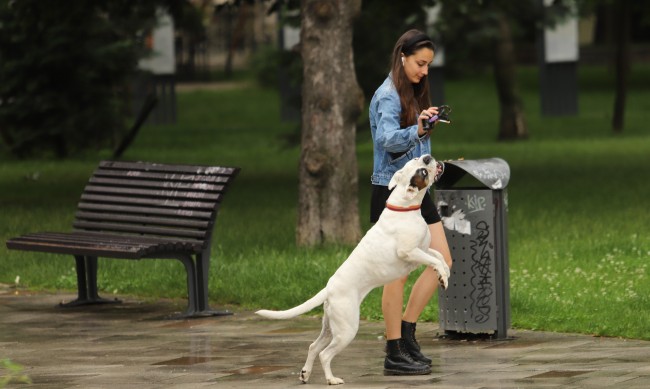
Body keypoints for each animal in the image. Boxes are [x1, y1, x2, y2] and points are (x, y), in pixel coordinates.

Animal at [256, 155, 448, 384]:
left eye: (418, 160)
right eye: (423, 172)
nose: (427, 157)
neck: (405, 205)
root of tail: (328, 288)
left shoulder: (423, 250)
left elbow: (439, 257)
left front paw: (444, 275)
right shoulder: (409, 252)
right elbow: (435, 260)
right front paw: (443, 275)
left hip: (331, 328)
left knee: (314, 347)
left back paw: (305, 374)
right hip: (346, 328)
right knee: (325, 354)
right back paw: (332, 379)